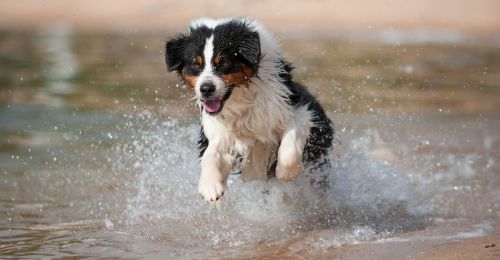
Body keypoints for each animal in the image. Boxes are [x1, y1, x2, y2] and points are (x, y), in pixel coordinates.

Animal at [166, 18, 334, 202]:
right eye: (196, 64)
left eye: (224, 62)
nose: (206, 89)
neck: (243, 103)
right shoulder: (220, 133)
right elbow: (211, 154)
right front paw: (210, 186)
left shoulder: (298, 111)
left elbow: (290, 148)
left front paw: (286, 172)